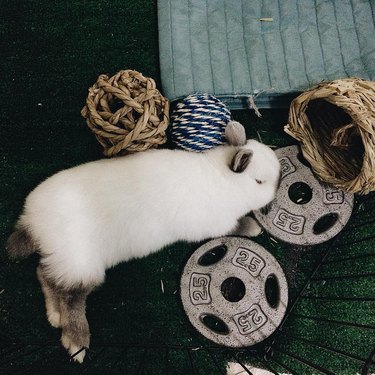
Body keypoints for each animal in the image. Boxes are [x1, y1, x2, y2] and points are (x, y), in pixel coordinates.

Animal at [7, 122, 280, 362]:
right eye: (259, 182)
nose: (274, 194)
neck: (224, 179)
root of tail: (33, 224)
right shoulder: (218, 224)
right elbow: (238, 227)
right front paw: (254, 227)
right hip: (82, 265)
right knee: (71, 300)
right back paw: (76, 344)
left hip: (62, 261)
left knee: (44, 275)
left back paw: (54, 316)